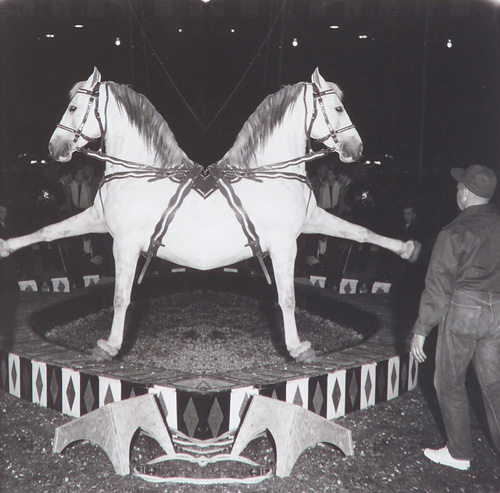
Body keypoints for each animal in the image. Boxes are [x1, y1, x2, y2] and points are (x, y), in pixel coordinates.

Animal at [0, 68, 418, 362]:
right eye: (337, 108)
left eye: (73, 108)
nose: (54, 148)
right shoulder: (111, 232)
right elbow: (52, 235)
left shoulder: (298, 232)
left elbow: (358, 236)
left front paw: (408, 249)